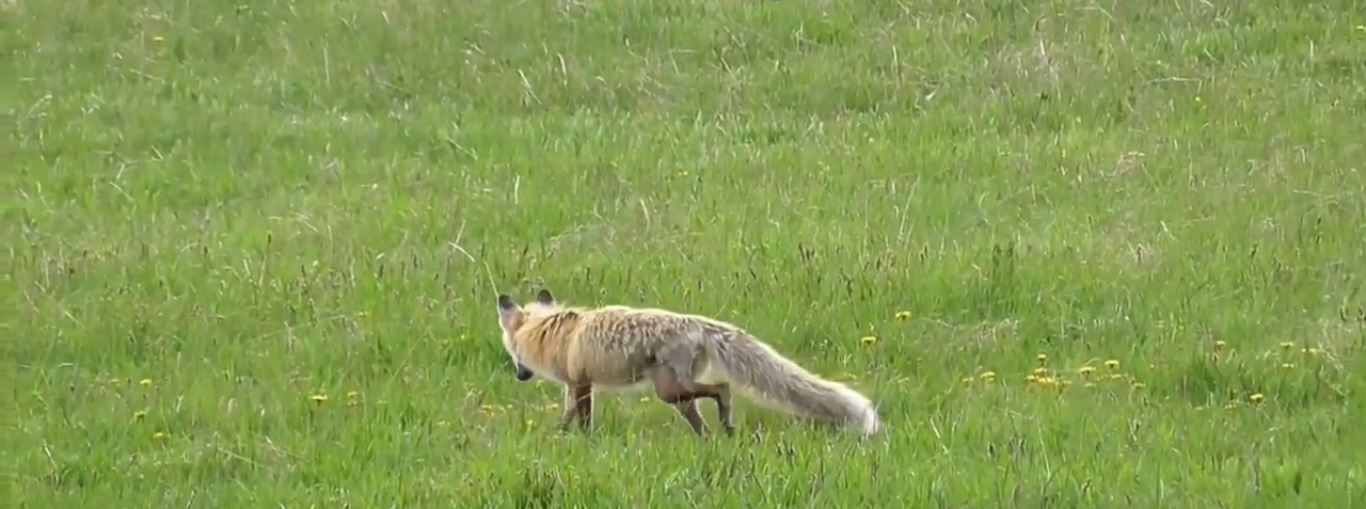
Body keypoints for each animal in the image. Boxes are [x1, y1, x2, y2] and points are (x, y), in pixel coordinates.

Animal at [493, 289, 881, 436]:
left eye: (512, 355)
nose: (520, 375)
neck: (552, 332)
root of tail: (695, 323)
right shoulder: (579, 385)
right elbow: (576, 416)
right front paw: (569, 437)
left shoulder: (578, 383)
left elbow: (577, 417)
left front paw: (570, 439)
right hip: (677, 394)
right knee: (703, 418)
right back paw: (717, 436)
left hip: (669, 390)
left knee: (722, 389)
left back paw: (725, 423)